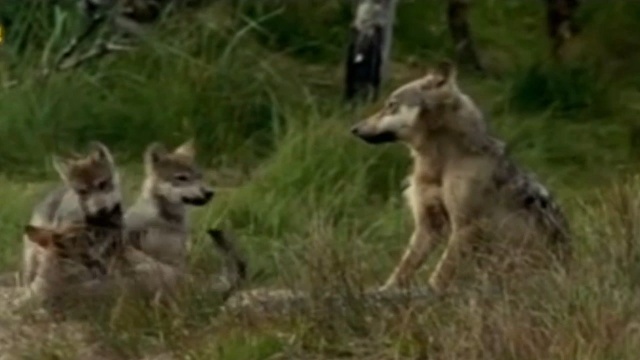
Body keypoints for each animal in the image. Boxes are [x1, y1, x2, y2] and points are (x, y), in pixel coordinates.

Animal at [350, 61, 568, 292]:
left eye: (391, 105)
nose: (353, 129)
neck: (440, 163)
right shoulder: (429, 225)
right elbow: (404, 267)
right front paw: (385, 291)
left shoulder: (465, 225)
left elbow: (441, 273)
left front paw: (430, 293)